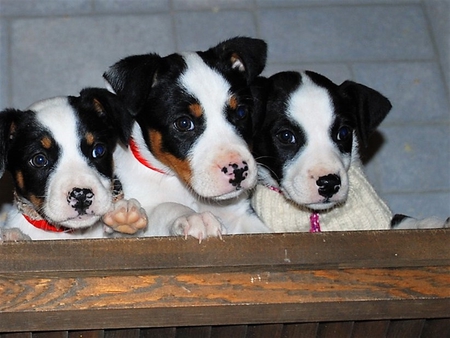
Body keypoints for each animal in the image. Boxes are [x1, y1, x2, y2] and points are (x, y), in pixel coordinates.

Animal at [103, 37, 268, 239]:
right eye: (183, 123)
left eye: (242, 112)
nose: (238, 171)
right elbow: (165, 207)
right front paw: (195, 218)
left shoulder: (242, 218)